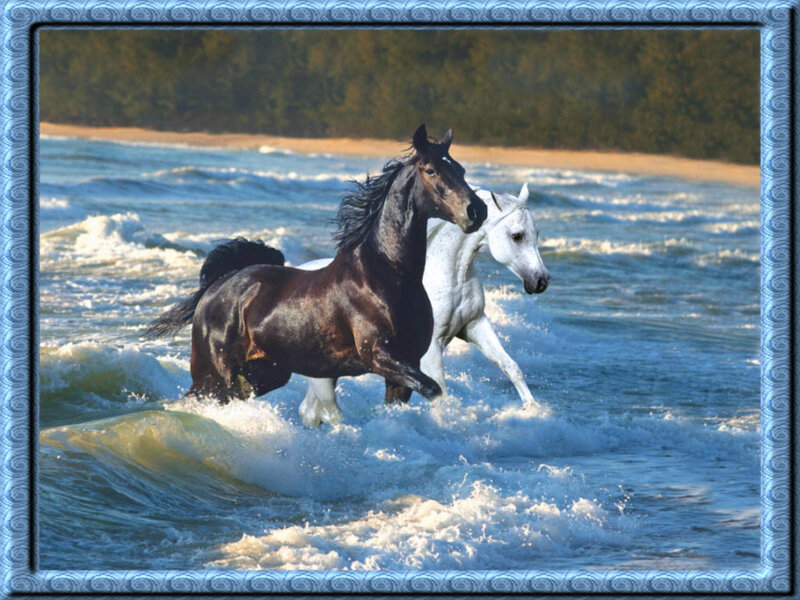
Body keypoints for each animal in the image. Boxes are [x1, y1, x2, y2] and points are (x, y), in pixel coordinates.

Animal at [144, 124, 487, 405]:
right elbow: (434, 390)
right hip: (214, 374)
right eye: (431, 170)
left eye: (460, 169)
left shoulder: (404, 369)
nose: (476, 210)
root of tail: (217, 287)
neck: (390, 274)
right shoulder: (380, 357)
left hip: (266, 372)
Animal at [298, 183, 549, 426]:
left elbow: (511, 367)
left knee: (312, 410)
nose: (541, 281)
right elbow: (441, 392)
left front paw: (534, 410)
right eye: (517, 236)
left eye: (537, 233)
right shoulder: (430, 349)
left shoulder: (474, 325)